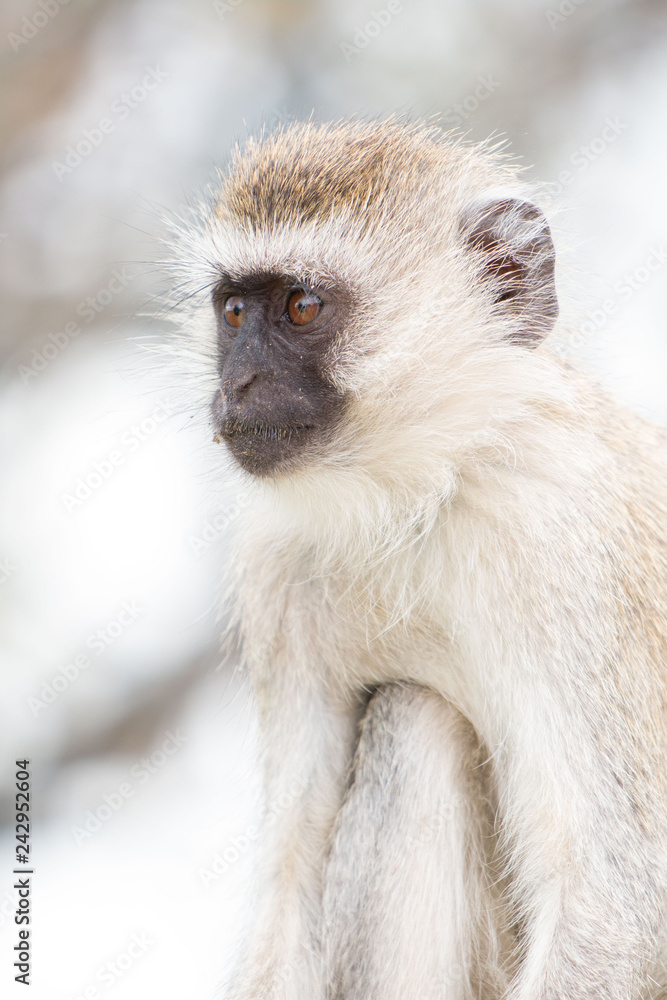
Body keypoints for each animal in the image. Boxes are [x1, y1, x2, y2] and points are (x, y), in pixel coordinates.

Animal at [174, 120, 667, 999]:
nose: (238, 385)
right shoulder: (277, 570)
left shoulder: (562, 536)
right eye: (232, 312)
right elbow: (288, 888)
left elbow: (615, 907)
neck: (420, 497)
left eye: (301, 307)